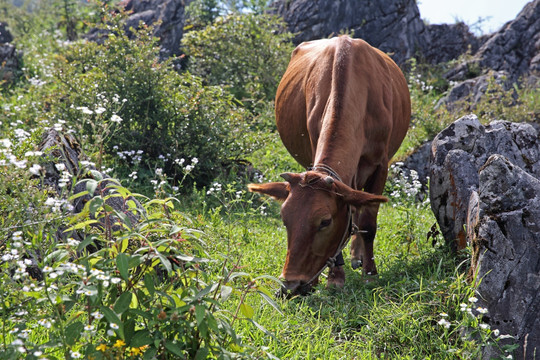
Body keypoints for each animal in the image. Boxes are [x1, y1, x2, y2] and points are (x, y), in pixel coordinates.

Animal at [248, 35, 410, 296]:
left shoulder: (381, 164)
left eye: (325, 222)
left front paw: (370, 274)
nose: (290, 285)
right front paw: (335, 277)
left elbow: (368, 222)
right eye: (284, 219)